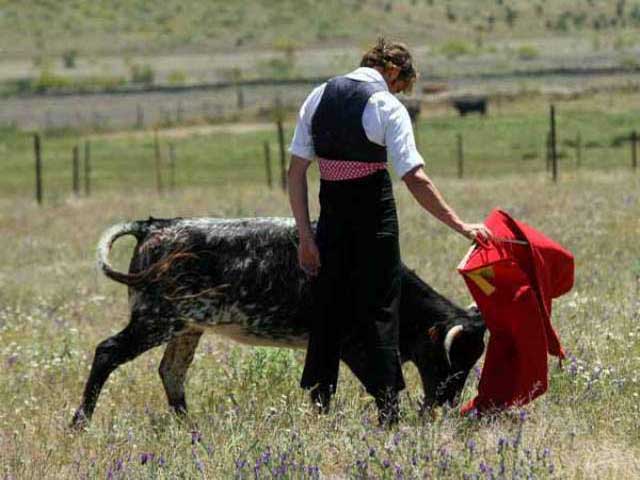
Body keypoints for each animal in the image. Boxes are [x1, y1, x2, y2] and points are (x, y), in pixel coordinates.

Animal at [70, 218, 484, 428]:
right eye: (448, 359)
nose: (446, 404)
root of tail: (155, 226)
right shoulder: (352, 346)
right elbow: (376, 386)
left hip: (186, 326)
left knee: (171, 371)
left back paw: (191, 428)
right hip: (157, 319)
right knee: (108, 351)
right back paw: (80, 421)